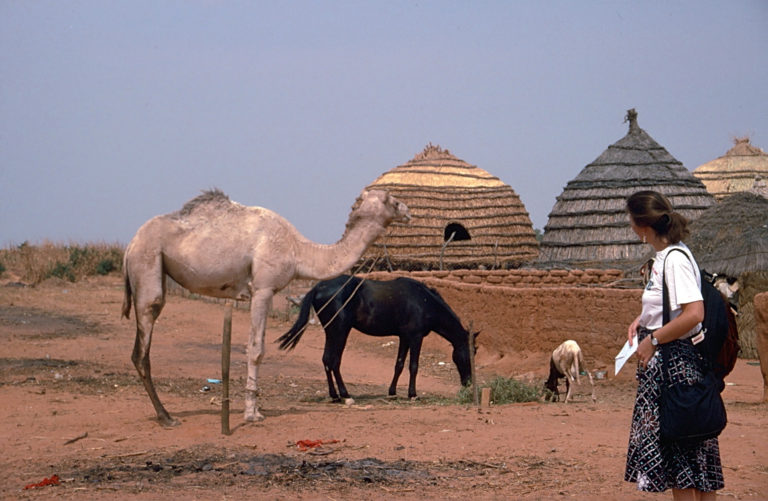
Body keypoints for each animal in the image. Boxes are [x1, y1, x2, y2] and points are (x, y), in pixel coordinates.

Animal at [121, 188, 408, 426]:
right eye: (390, 200)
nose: (407, 211)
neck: (298, 251)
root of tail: (129, 246)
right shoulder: (263, 288)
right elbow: (256, 349)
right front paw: (252, 414)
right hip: (147, 262)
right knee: (142, 345)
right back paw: (166, 417)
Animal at [280, 276, 476, 400]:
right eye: (470, 353)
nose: (468, 383)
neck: (424, 302)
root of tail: (318, 287)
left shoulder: (404, 337)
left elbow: (399, 365)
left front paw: (392, 392)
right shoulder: (416, 337)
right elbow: (413, 366)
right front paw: (412, 394)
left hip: (331, 332)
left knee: (327, 360)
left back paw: (334, 395)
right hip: (340, 331)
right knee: (334, 361)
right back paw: (345, 394)